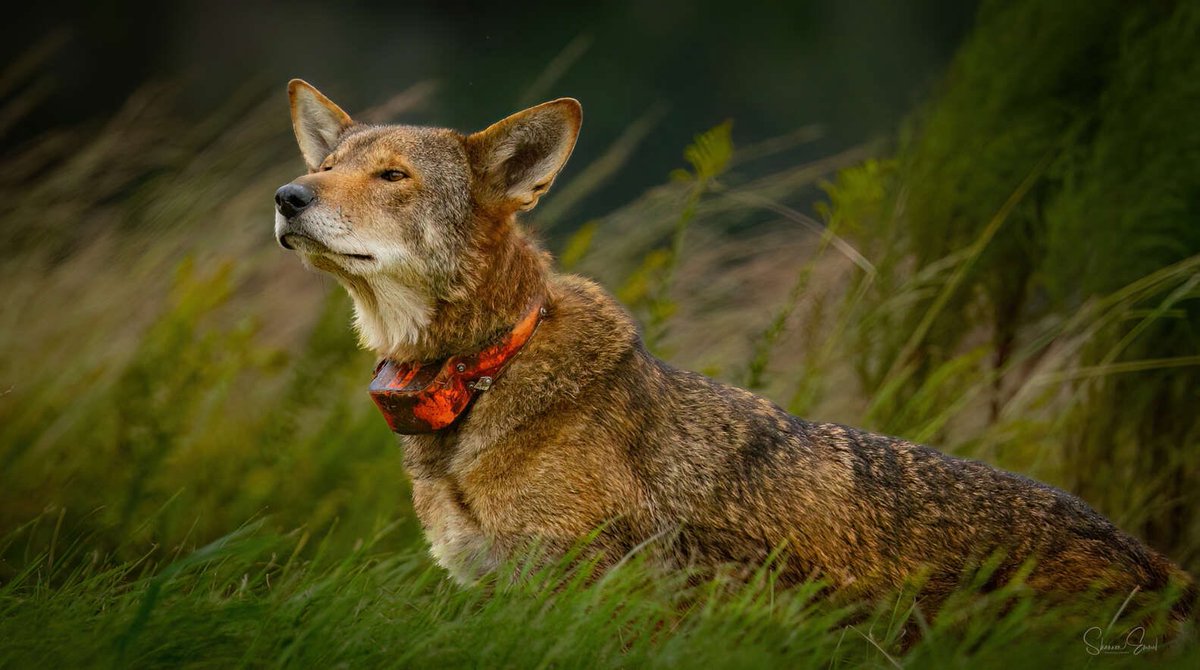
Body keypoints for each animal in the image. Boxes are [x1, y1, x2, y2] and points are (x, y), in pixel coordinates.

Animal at [273, 79, 1194, 621]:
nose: (287, 195)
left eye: (393, 176)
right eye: (327, 162)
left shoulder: (582, 594)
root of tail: (1156, 567)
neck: (484, 375)